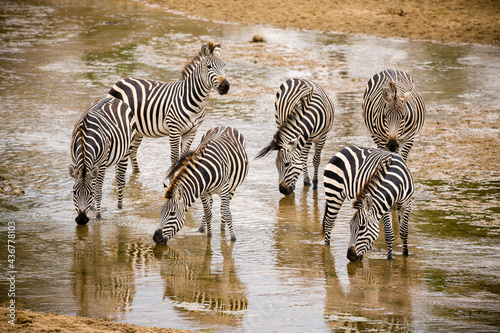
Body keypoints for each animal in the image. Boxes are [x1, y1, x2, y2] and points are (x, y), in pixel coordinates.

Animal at [108, 40, 229, 174]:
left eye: (224, 66)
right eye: (208, 67)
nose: (225, 86)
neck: (196, 103)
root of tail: (120, 81)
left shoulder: (191, 131)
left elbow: (184, 156)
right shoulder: (174, 130)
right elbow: (175, 157)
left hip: (138, 130)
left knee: (132, 152)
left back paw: (137, 173)